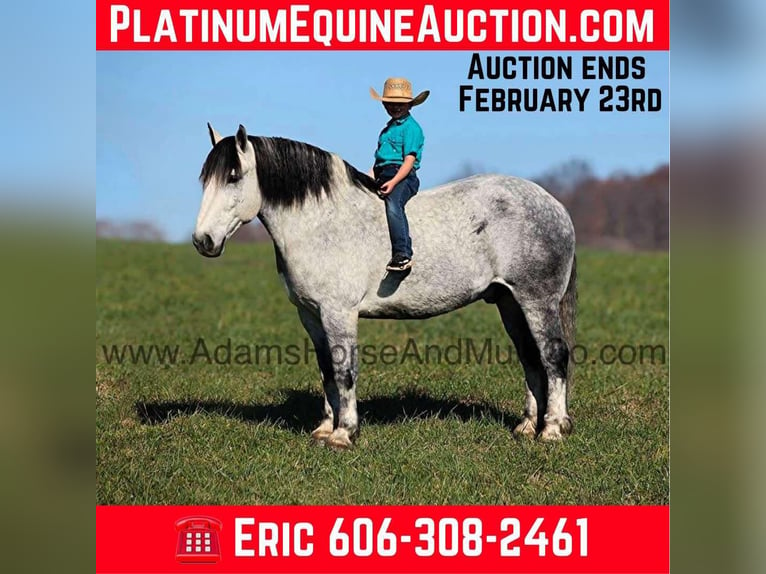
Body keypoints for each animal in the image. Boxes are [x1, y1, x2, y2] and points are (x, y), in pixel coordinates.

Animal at [195, 124, 580, 452]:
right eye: (205, 179)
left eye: (233, 176)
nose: (203, 241)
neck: (322, 222)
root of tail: (556, 205)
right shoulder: (311, 315)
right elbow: (326, 370)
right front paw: (324, 429)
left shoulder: (339, 313)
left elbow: (344, 371)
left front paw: (344, 434)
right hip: (509, 303)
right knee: (530, 358)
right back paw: (527, 426)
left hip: (537, 301)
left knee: (553, 356)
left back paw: (552, 429)